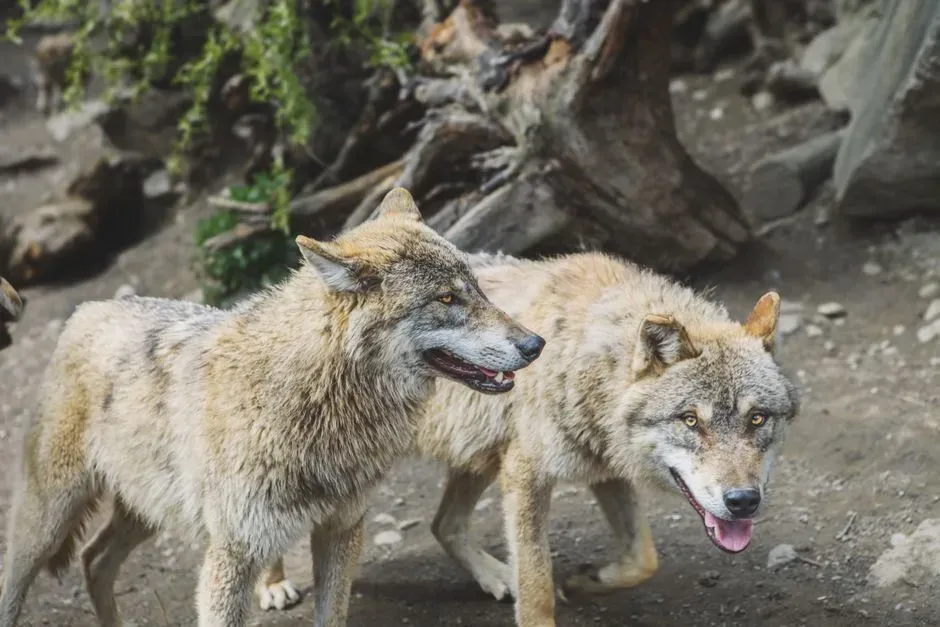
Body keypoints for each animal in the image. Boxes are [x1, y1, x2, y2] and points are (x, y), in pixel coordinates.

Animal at [0, 188, 545, 627]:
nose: (535, 344)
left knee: (94, 560)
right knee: (21, 577)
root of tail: (87, 310)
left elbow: (332, 615)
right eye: (447, 299)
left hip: (146, 510)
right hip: (49, 518)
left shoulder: (341, 530)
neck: (314, 401)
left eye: (477, 289)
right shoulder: (233, 555)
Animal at [264, 251, 800, 626]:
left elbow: (642, 559)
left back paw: (495, 577)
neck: (585, 357)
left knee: (444, 525)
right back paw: (271, 585)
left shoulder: (601, 468)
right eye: (691, 421)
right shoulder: (526, 476)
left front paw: (589, 579)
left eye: (757, 419)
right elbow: (538, 587)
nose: (743, 501)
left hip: (480, 457)